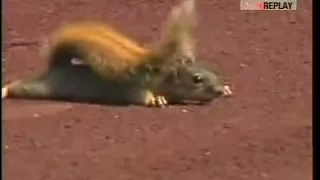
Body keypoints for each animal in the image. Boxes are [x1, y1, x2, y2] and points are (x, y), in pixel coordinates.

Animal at [2, 0, 232, 107]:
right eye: (197, 79)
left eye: (212, 71)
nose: (218, 91)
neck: (161, 76)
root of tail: (56, 67)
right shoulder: (134, 86)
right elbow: (140, 96)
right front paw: (155, 99)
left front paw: (228, 88)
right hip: (42, 88)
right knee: (20, 86)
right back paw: (4, 90)